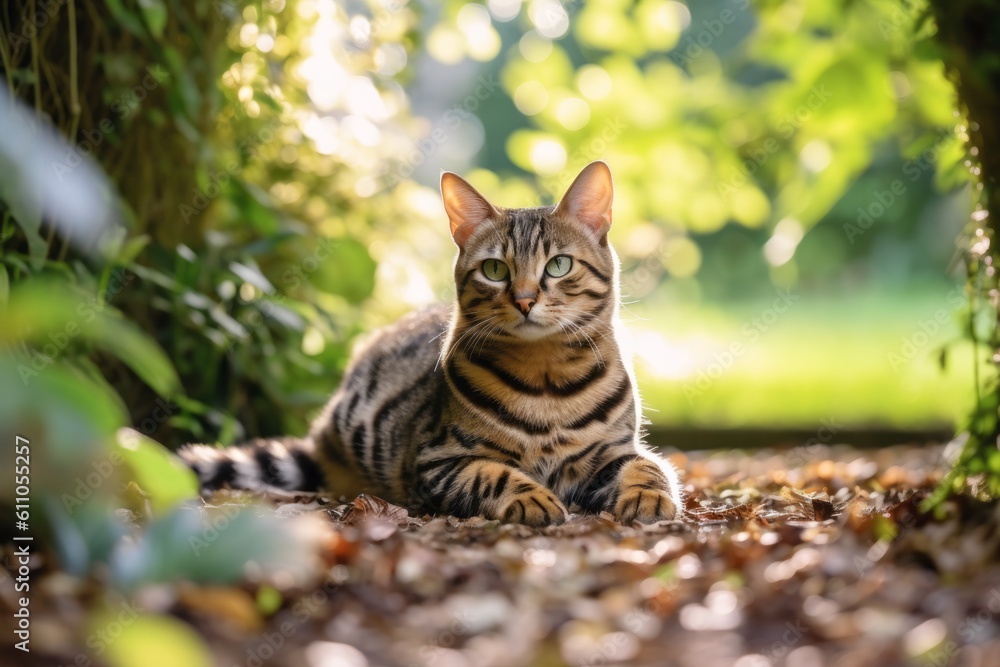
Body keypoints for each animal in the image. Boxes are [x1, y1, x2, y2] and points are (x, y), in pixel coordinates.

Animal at [180, 163, 680, 528]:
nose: (524, 299)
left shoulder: (614, 451)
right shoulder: (441, 459)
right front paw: (530, 496)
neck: (547, 380)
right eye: (495, 270)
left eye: (558, 265)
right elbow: (494, 474)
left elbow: (650, 466)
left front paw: (648, 495)